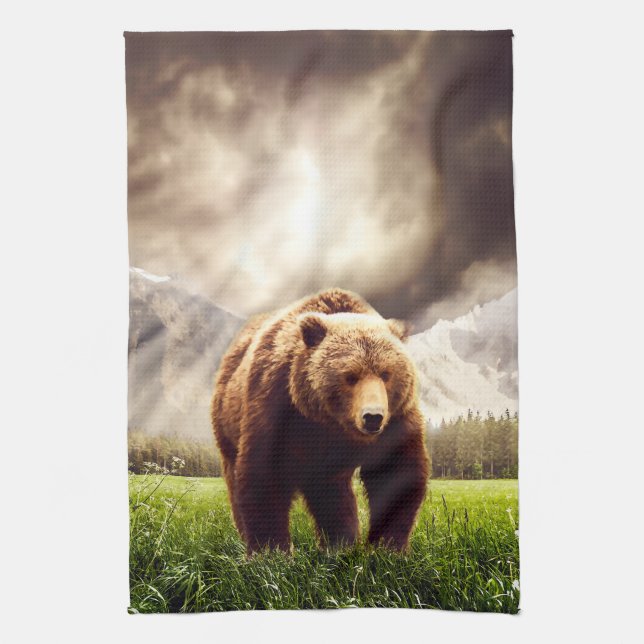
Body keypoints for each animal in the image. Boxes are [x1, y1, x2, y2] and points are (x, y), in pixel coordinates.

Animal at [211, 288, 429, 554]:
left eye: (386, 374)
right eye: (350, 376)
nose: (372, 417)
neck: (330, 422)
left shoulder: (396, 420)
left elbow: (397, 474)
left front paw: (387, 547)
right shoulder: (274, 404)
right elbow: (265, 473)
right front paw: (272, 550)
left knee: (332, 494)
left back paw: (339, 543)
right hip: (227, 422)